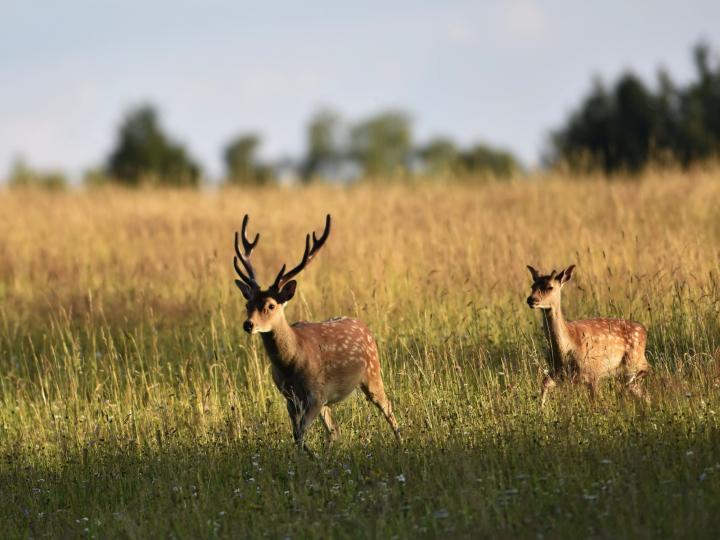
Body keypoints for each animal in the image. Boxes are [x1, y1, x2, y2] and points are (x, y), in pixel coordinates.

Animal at [232, 213, 400, 454]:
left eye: (271, 305)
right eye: (248, 304)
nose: (248, 324)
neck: (292, 364)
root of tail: (364, 326)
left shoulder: (316, 393)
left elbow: (300, 434)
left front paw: (309, 455)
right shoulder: (290, 397)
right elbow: (297, 434)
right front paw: (309, 456)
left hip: (372, 373)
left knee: (387, 407)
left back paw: (401, 443)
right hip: (329, 398)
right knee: (335, 430)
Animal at [524, 264, 648, 408]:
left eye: (550, 287)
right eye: (532, 286)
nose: (531, 299)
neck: (567, 346)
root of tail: (644, 330)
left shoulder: (593, 372)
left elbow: (595, 401)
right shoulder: (557, 371)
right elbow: (544, 384)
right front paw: (542, 409)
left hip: (634, 362)